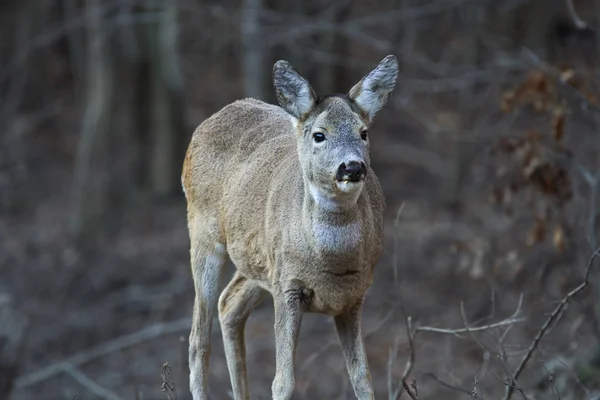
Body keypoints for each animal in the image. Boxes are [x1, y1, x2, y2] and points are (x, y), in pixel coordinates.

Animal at [183, 54, 398, 400]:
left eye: (363, 132)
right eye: (319, 135)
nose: (352, 167)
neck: (331, 263)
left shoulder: (354, 296)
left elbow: (363, 378)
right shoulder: (288, 286)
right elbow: (283, 381)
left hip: (259, 263)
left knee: (229, 304)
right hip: (203, 233)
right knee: (198, 339)